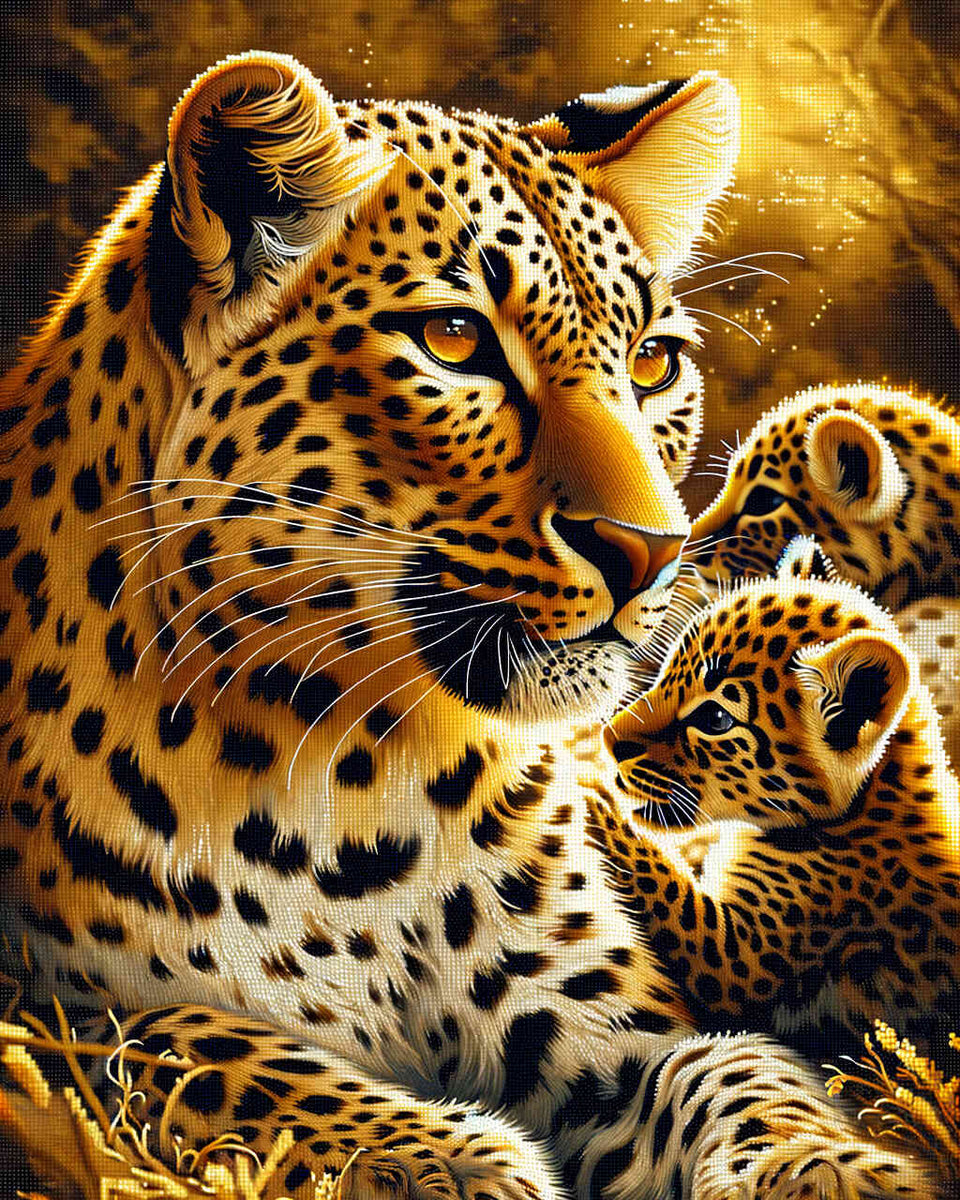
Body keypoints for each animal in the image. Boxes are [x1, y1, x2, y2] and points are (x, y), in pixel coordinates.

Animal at [589, 536, 960, 1076]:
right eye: (667, 671)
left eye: (715, 718)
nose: (609, 739)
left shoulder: (737, 959)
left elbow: (665, 883)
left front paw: (589, 793)